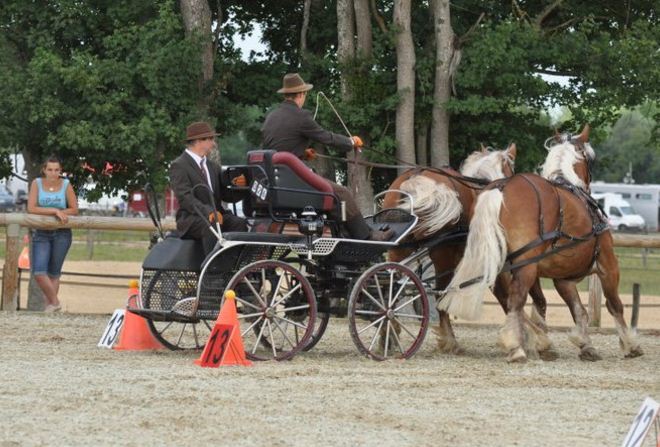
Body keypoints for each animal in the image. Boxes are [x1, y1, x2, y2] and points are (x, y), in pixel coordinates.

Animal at [384, 145, 556, 356]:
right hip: (442, 253)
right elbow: (506, 296)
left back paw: (388, 336)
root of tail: (416, 176)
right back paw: (450, 341)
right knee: (439, 293)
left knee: (389, 283)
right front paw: (529, 337)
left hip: (398, 248)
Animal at [438, 124, 644, 362]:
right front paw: (630, 345)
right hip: (526, 265)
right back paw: (517, 347)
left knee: (506, 297)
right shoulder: (607, 264)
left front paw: (585, 344)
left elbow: (577, 309)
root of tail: (501, 187)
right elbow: (614, 306)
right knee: (515, 298)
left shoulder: (563, 278)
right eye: (591, 158)